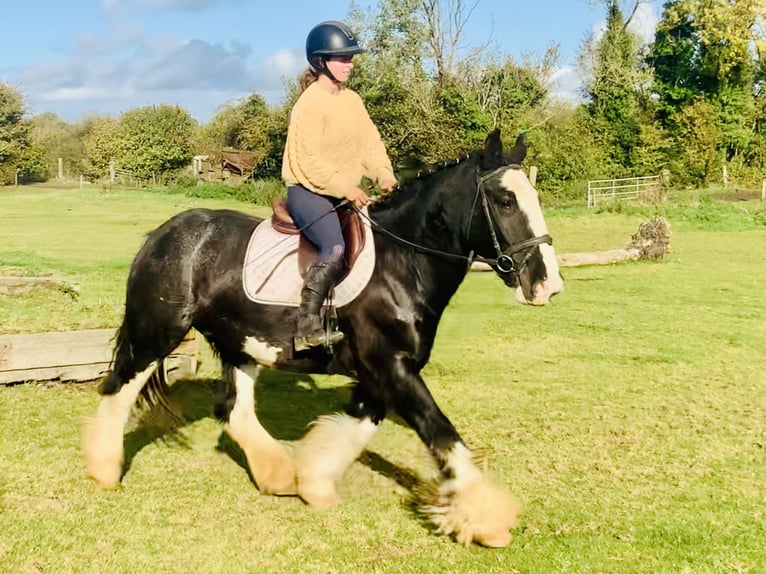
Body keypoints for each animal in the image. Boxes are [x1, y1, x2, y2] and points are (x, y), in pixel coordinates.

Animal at [82, 130, 564, 548]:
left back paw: (277, 476)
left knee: (232, 409)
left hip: (240, 342)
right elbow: (442, 433)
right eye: (505, 200)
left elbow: (359, 428)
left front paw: (314, 484)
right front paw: (486, 520)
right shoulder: (393, 367)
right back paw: (104, 471)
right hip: (157, 331)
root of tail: (164, 234)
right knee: (119, 387)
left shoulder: (380, 374)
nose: (547, 284)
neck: (402, 263)